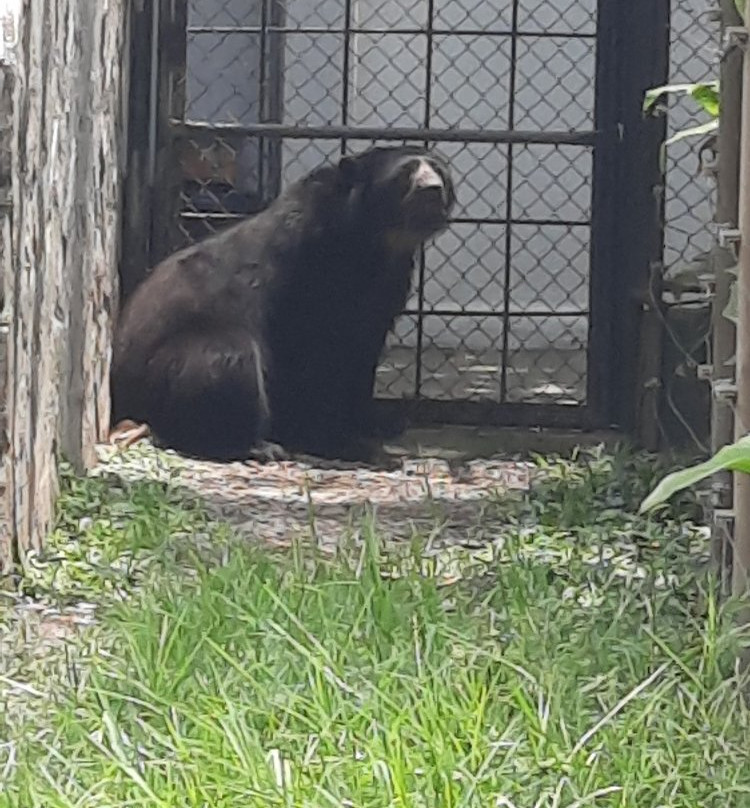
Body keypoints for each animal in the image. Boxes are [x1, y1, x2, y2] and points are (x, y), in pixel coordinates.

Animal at [109, 144, 456, 460]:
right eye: (404, 173)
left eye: (439, 170)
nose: (431, 190)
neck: (375, 244)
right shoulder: (310, 277)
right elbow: (315, 356)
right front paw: (338, 439)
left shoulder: (385, 291)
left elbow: (361, 352)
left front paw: (377, 420)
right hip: (166, 364)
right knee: (229, 357)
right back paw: (255, 444)